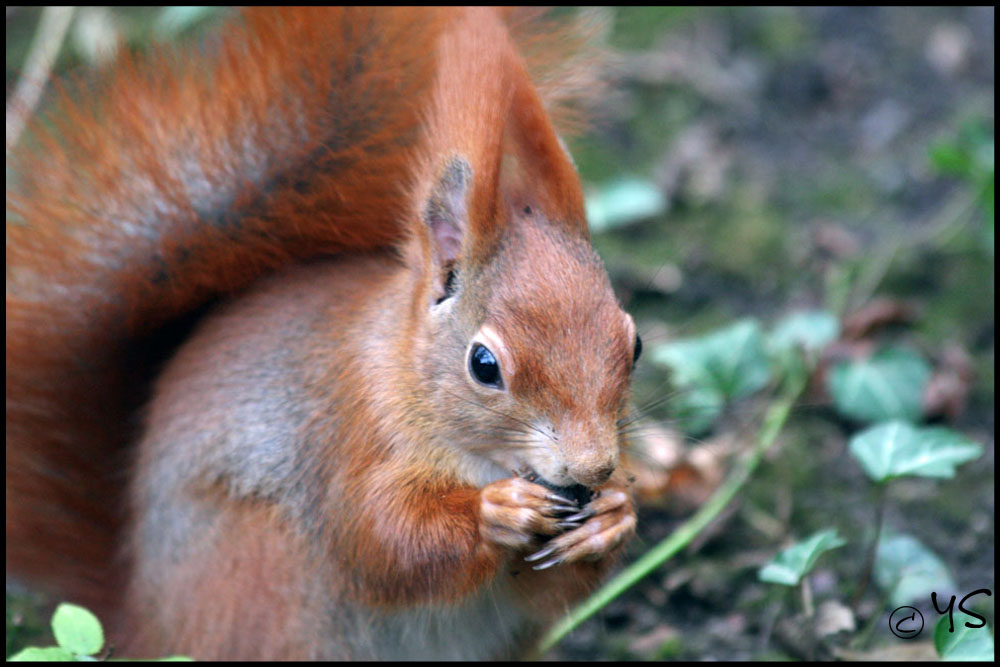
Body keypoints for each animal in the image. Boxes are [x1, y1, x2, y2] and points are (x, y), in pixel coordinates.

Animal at [3, 6, 636, 664]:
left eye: (634, 344)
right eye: (484, 366)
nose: (593, 467)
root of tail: (143, 620)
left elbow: (551, 586)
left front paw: (615, 518)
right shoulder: (352, 432)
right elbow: (379, 539)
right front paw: (496, 511)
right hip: (261, 575)